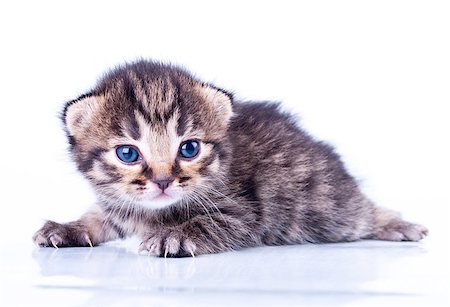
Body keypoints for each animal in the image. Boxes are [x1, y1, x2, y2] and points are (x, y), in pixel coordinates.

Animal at [33, 60, 428, 258]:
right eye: (128, 153)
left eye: (189, 148)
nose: (162, 180)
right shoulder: (118, 205)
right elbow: (98, 219)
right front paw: (67, 228)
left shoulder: (245, 212)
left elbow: (210, 223)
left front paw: (174, 236)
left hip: (330, 210)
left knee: (364, 213)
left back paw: (399, 225)